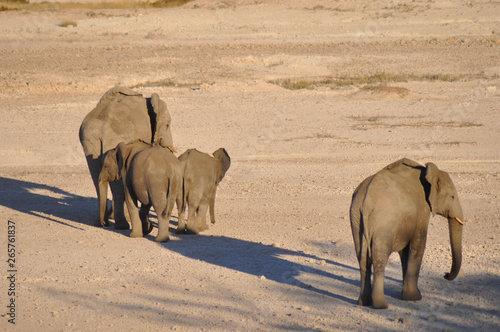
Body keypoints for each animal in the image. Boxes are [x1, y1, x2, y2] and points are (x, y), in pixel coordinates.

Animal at [79, 87, 174, 230]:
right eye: (167, 125)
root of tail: (102, 128)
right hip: (116, 138)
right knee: (118, 184)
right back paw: (122, 224)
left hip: (89, 141)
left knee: (96, 176)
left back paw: (101, 223)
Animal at [350, 158, 462, 308]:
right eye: (452, 197)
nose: (445, 274)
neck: (428, 173)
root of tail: (366, 202)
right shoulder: (422, 211)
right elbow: (418, 246)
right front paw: (414, 297)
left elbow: (405, 252)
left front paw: (407, 295)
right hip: (384, 221)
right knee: (379, 258)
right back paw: (381, 305)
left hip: (356, 218)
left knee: (363, 260)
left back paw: (363, 303)